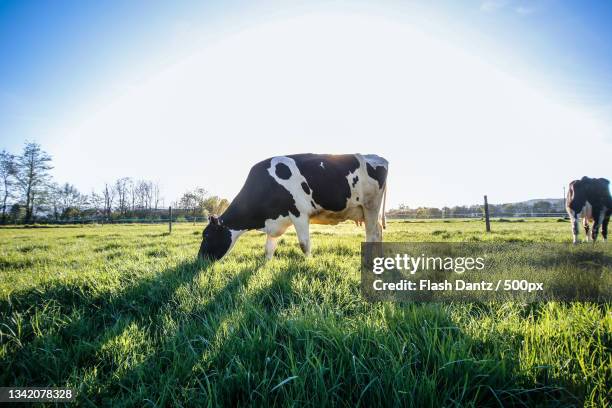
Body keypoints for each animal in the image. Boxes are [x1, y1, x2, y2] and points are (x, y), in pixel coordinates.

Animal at [197, 153, 388, 262]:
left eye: (206, 236)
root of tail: (377, 157)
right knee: (378, 232)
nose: (199, 259)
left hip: (370, 206)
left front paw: (309, 263)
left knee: (372, 235)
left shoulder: (299, 213)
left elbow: (304, 244)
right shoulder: (275, 220)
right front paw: (266, 265)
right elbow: (268, 248)